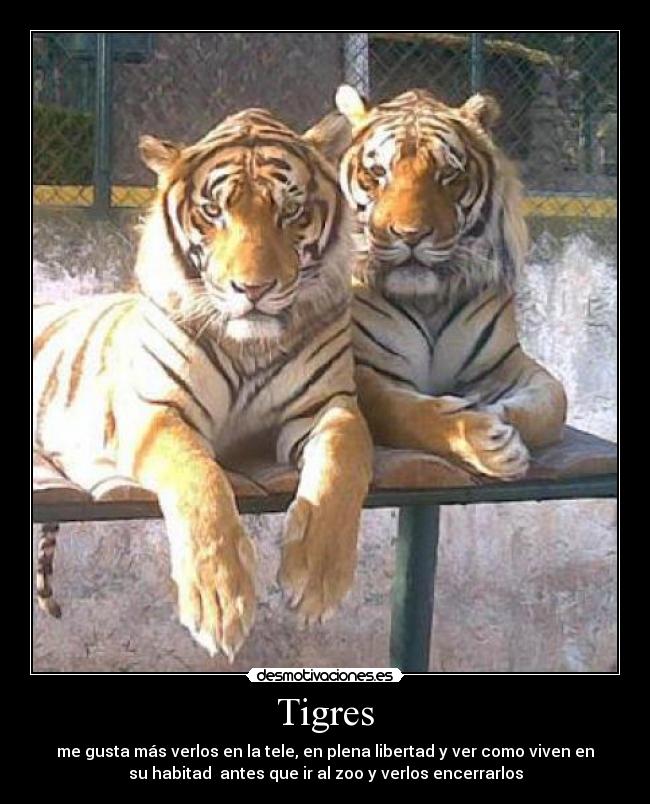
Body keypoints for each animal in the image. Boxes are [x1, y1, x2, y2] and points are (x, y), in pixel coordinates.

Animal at [33, 107, 373, 661]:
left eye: (291, 211)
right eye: (214, 212)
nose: (253, 289)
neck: (248, 345)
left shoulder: (329, 405)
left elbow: (343, 461)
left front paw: (316, 578)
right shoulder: (156, 410)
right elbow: (197, 476)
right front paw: (219, 601)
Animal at [327, 85, 567, 479]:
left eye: (448, 175)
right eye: (377, 173)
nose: (410, 235)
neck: (429, 300)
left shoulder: (507, 364)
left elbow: (554, 404)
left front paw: (491, 414)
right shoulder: (365, 369)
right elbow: (405, 411)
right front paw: (488, 442)